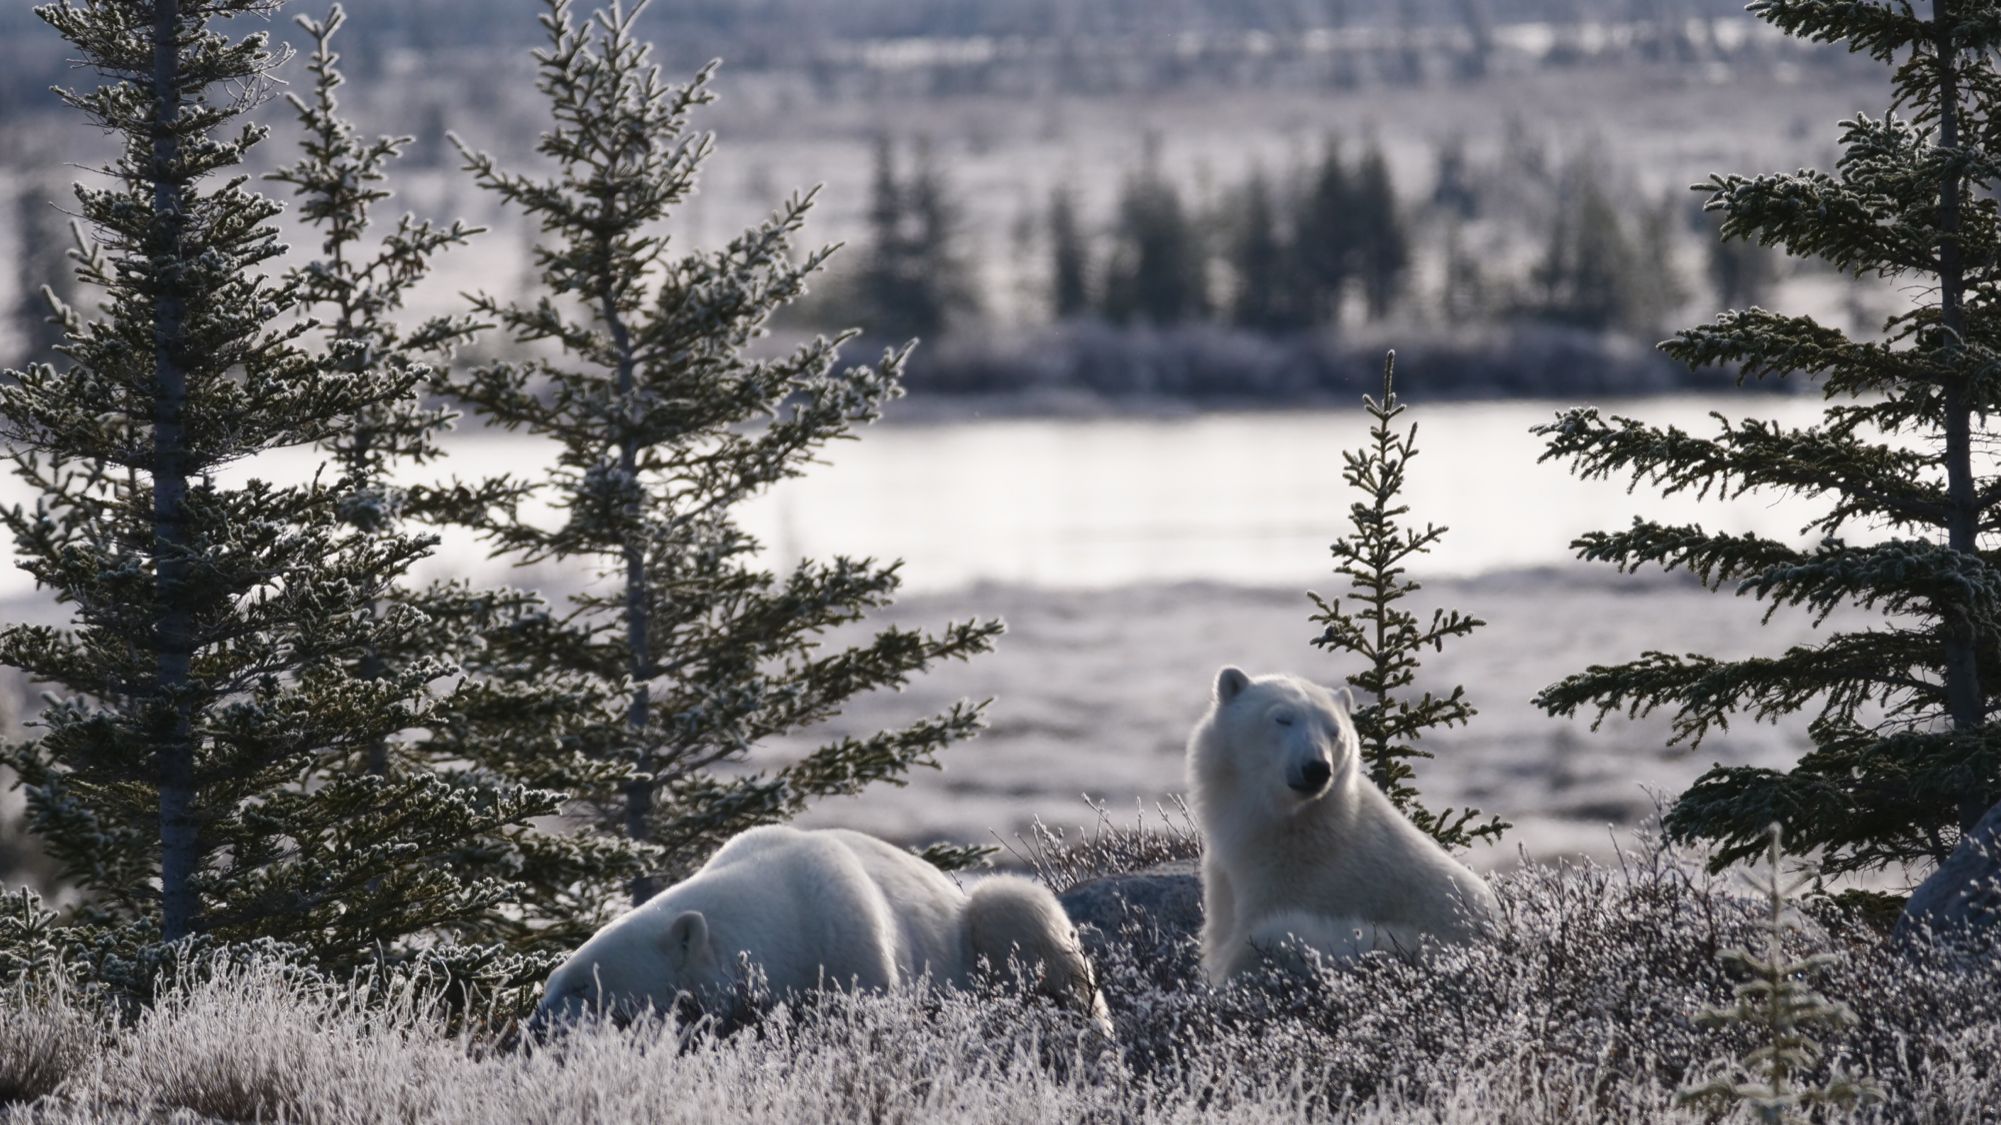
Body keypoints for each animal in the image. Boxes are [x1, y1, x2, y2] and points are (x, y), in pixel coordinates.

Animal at [530, 825, 1111, 1036]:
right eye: (549, 983)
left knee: (1019, 913)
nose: (532, 1029)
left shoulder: (850, 940)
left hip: (977, 922)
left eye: (582, 986)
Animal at [1186, 666, 1501, 984]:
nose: (1316, 768)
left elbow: (1253, 934)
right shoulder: (1228, 869)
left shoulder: (1301, 877)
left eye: (1334, 730)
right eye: (1282, 718)